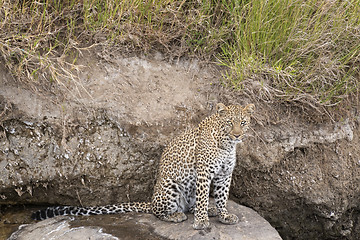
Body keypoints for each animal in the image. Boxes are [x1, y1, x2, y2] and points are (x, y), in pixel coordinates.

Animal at [32, 102, 255, 230]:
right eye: (229, 122)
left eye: (243, 123)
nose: (237, 135)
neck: (227, 144)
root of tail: (151, 200)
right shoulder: (204, 173)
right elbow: (202, 200)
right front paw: (201, 222)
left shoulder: (225, 174)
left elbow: (222, 197)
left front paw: (224, 215)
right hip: (170, 188)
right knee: (159, 212)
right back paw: (176, 215)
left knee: (190, 205)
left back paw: (211, 209)